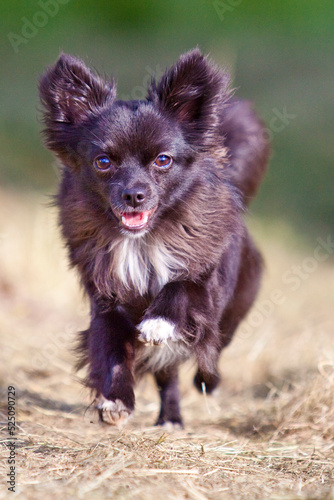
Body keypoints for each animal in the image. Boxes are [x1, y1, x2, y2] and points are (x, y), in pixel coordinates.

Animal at [39, 48, 270, 428]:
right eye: (103, 162)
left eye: (163, 160)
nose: (134, 195)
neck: (142, 243)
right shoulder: (107, 302)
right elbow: (111, 348)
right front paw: (114, 399)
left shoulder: (204, 282)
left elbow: (180, 286)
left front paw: (158, 322)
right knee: (169, 375)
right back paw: (170, 417)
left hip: (233, 310)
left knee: (211, 354)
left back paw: (206, 384)